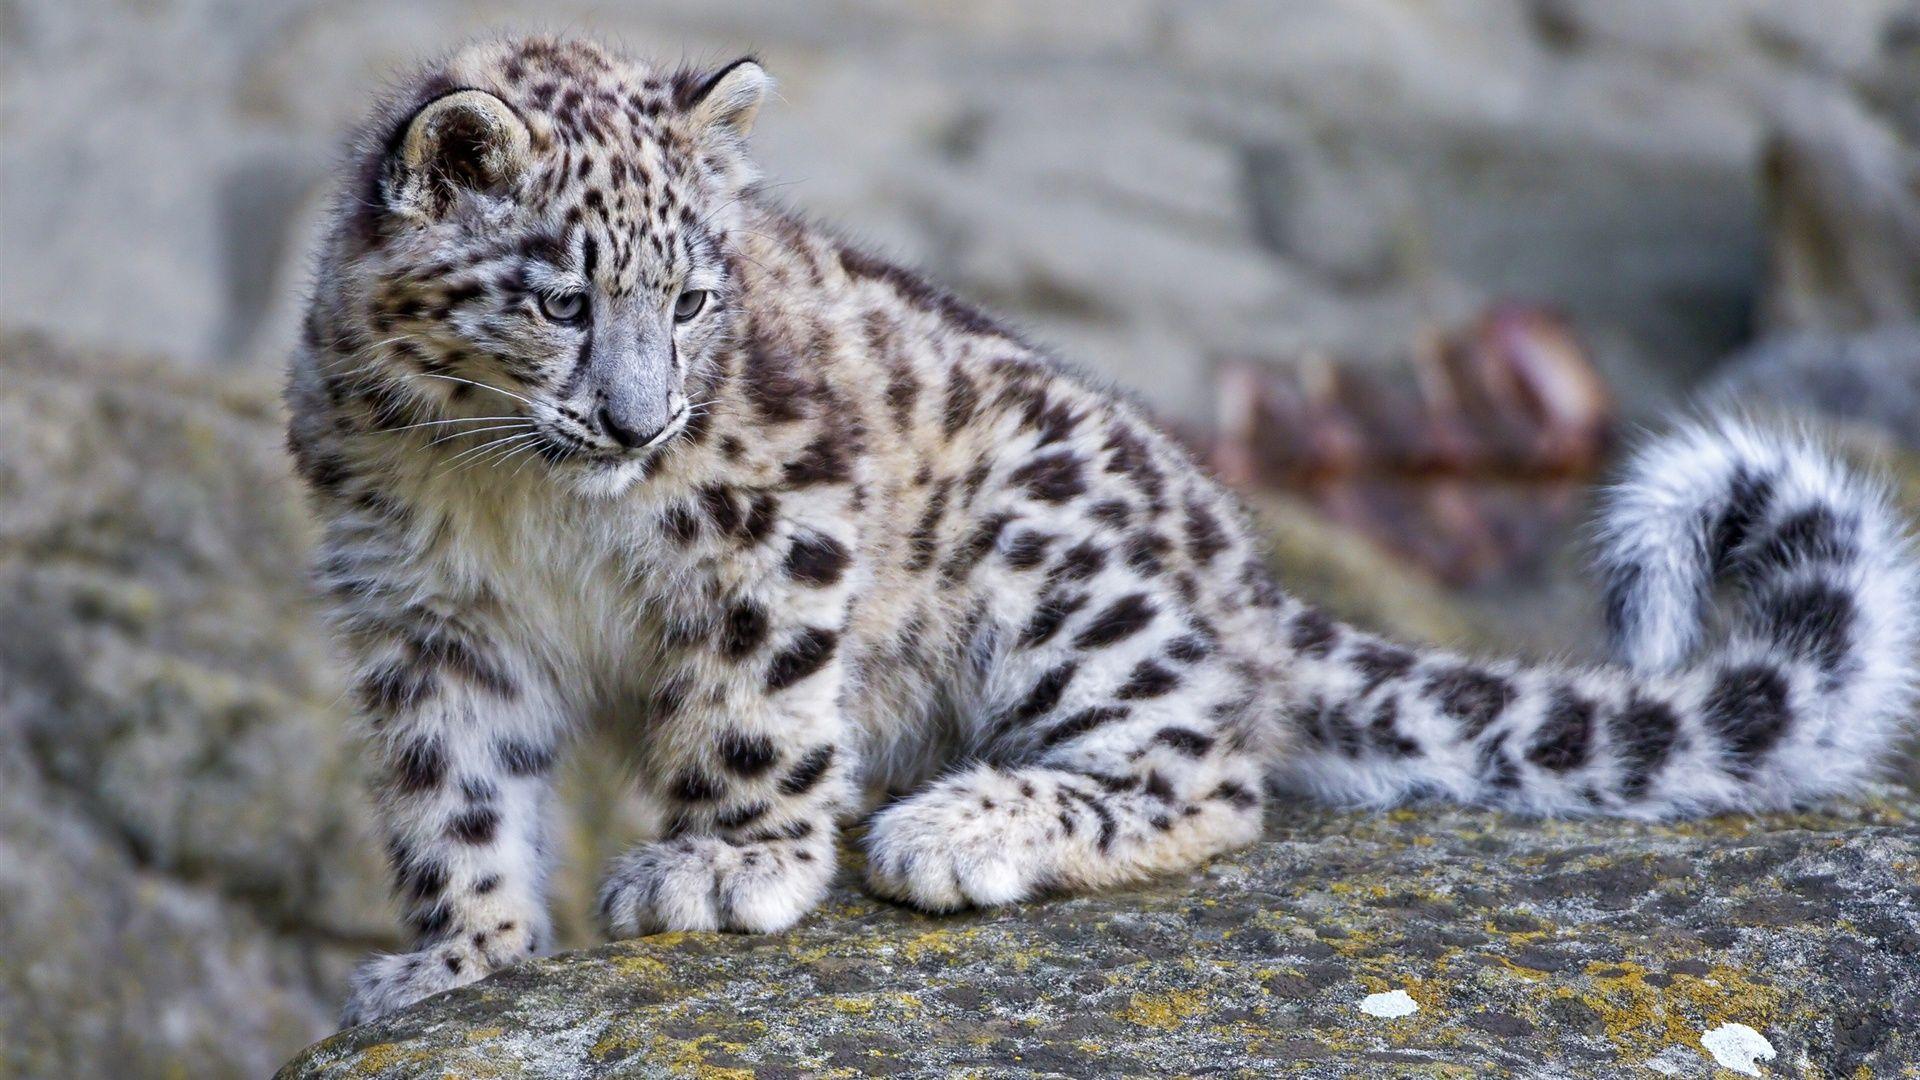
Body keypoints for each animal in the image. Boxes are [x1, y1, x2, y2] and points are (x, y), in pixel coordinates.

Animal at [284, 35, 1920, 1026]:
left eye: (689, 298)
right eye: (565, 299)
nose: (639, 423)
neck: (521, 498)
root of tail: (1247, 576)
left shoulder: (778, 519)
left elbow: (752, 708)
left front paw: (725, 864)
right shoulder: (424, 620)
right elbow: (453, 796)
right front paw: (456, 959)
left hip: (1052, 565)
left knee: (1208, 774)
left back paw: (956, 826)